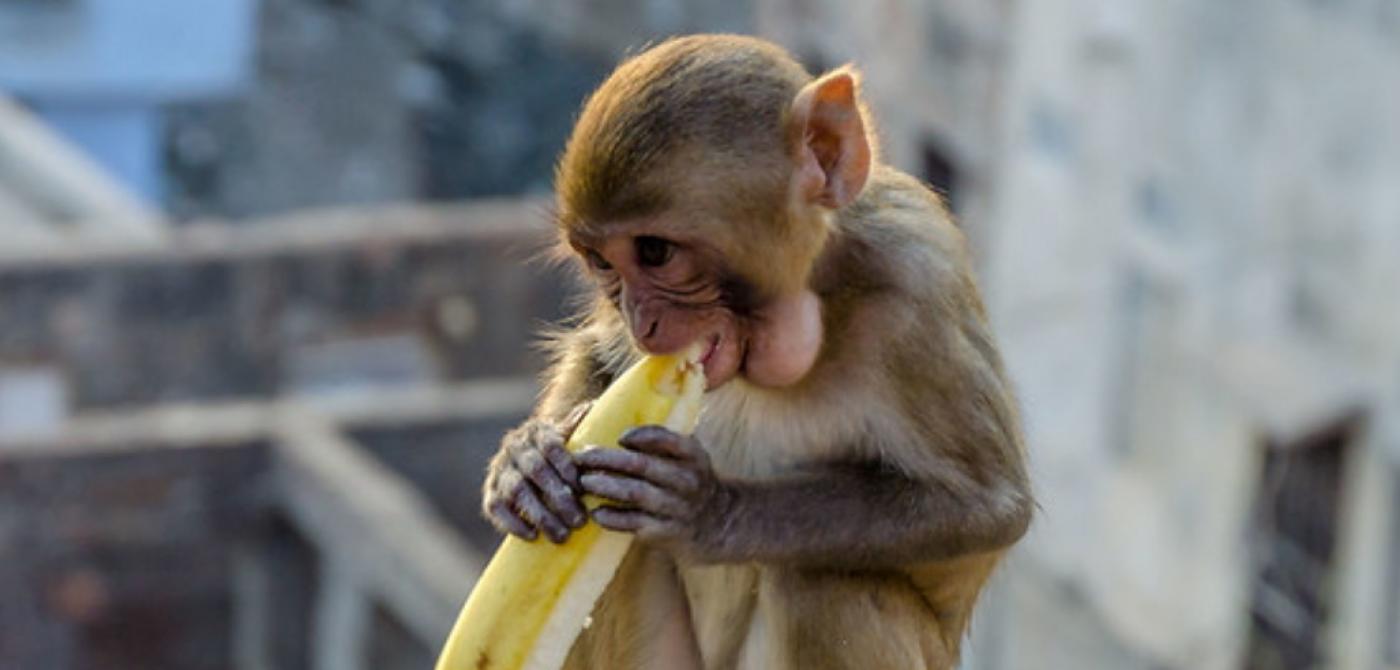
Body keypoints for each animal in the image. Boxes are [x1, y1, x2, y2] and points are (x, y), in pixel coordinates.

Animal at [481, 34, 1032, 670]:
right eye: (601, 262)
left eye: (654, 252)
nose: (642, 324)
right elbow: (597, 355)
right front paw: (528, 463)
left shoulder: (919, 281)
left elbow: (986, 508)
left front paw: (708, 511)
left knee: (822, 581)